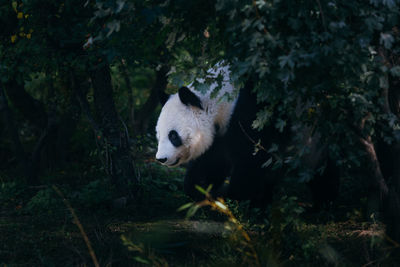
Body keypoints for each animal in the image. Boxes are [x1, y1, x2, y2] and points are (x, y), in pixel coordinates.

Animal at [153, 66, 284, 204]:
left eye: (173, 136)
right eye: (159, 135)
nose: (161, 159)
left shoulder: (251, 115)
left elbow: (251, 159)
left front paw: (238, 198)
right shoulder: (219, 133)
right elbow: (212, 161)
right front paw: (199, 190)